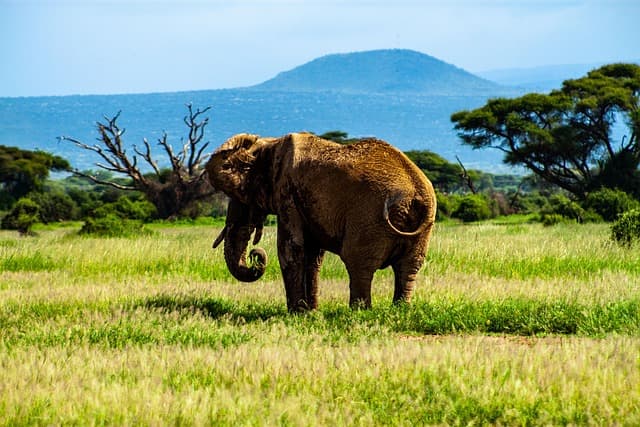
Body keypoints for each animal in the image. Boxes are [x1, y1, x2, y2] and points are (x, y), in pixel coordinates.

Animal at [208, 132, 438, 312]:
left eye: (242, 197)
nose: (255, 254)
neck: (269, 143)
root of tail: (415, 193)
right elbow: (313, 255)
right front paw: (311, 311)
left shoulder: (287, 193)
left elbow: (290, 248)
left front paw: (297, 313)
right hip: (420, 229)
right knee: (409, 266)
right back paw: (400, 309)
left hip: (369, 219)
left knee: (359, 263)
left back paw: (359, 312)